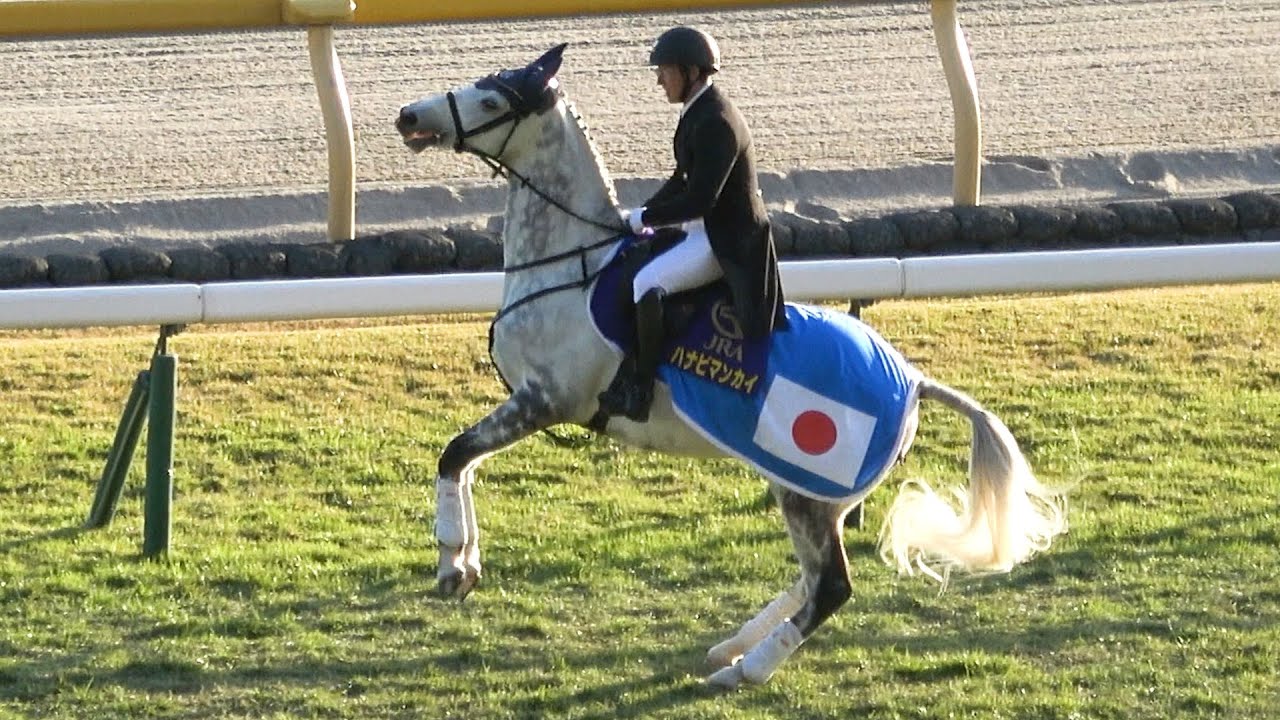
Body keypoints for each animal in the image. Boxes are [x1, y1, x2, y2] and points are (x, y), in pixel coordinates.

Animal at [394, 43, 1068, 689]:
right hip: (817, 495)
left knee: (831, 586)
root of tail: (915, 382)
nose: (409, 117)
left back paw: (743, 670)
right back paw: (732, 645)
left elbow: (454, 454)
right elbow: (466, 463)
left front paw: (451, 562)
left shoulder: (544, 400)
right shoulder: (533, 402)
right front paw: (465, 564)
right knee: (812, 579)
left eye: (491, 101)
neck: (570, 263)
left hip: (807, 493)